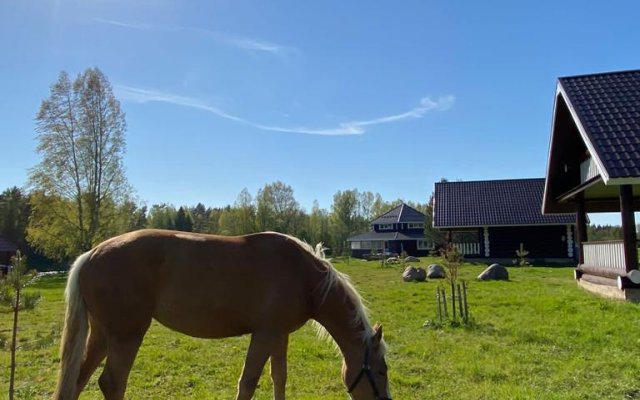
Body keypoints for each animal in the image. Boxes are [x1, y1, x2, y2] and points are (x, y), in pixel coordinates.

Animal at [52, 230, 390, 398]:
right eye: (382, 371)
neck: (304, 276)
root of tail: (90, 255)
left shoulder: (279, 335)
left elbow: (279, 377)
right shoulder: (264, 334)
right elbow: (248, 382)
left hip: (101, 335)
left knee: (77, 381)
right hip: (126, 335)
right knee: (111, 383)